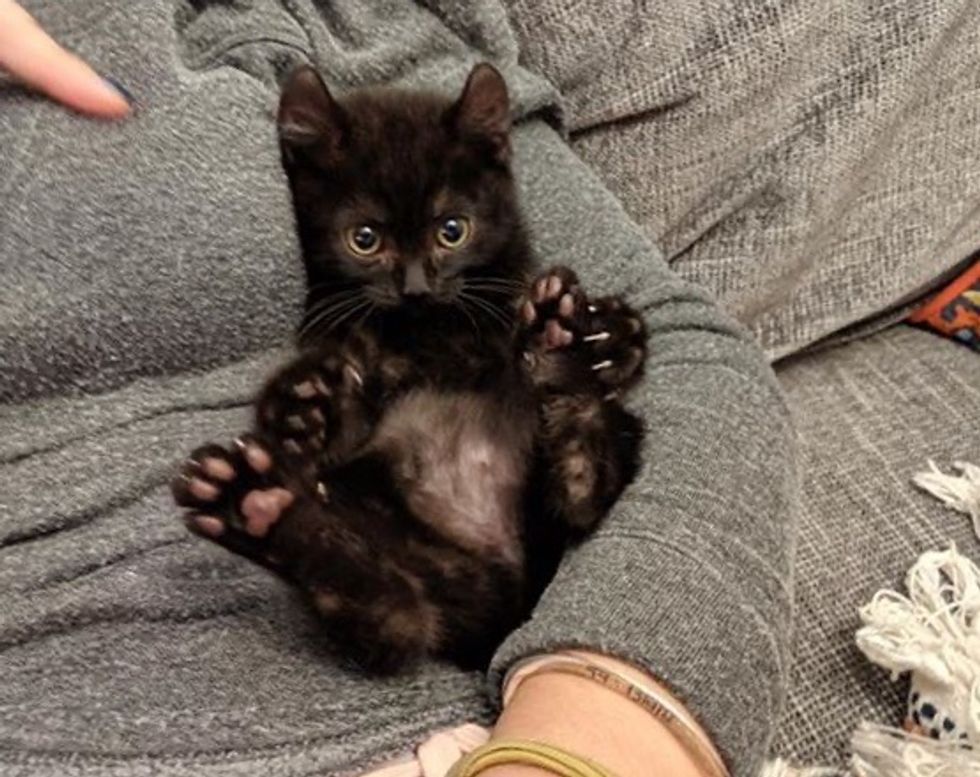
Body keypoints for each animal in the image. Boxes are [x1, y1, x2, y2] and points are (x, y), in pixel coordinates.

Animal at [174, 63, 652, 668]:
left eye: (452, 230)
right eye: (364, 239)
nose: (416, 286)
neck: (429, 333)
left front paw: (614, 332)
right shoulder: (339, 345)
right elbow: (339, 414)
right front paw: (303, 406)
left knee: (583, 487)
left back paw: (562, 350)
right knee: (395, 618)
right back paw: (255, 507)